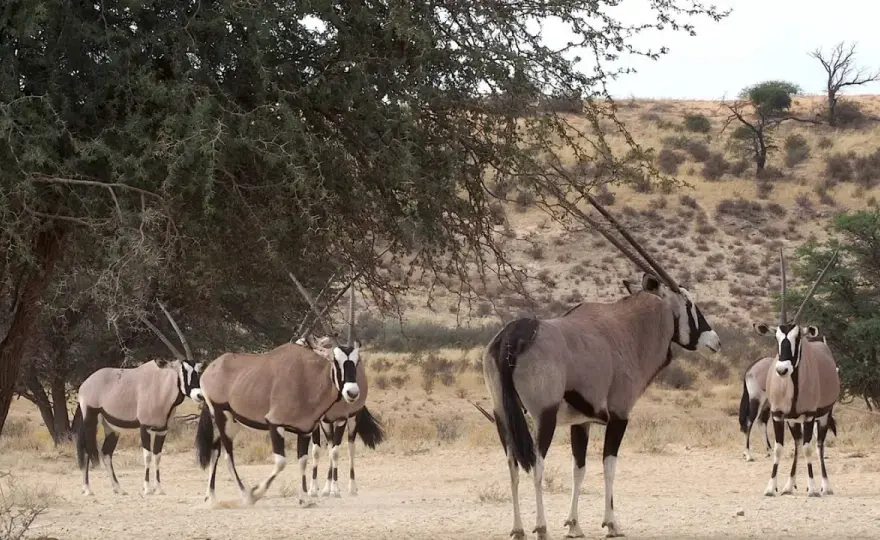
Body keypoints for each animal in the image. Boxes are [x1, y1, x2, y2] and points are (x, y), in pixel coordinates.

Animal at [75, 301, 203, 497]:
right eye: (182, 371)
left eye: (197, 370)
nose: (199, 394)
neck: (162, 388)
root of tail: (85, 384)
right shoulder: (144, 426)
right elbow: (147, 455)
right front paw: (147, 488)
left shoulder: (162, 429)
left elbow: (158, 456)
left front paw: (159, 488)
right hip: (90, 419)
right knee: (87, 450)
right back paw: (87, 489)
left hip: (111, 427)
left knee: (106, 453)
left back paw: (118, 488)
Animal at [195, 275, 370, 507]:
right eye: (335, 361)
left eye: (356, 362)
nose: (352, 392)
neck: (307, 378)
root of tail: (211, 368)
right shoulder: (274, 423)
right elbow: (281, 462)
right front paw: (256, 493)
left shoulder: (306, 429)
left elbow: (303, 460)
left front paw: (305, 498)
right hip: (221, 414)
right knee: (227, 455)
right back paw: (244, 494)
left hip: (233, 420)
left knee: (216, 450)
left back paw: (212, 496)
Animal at [481, 194, 722, 539]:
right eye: (689, 304)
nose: (715, 341)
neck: (629, 328)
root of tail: (514, 336)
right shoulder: (620, 415)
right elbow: (609, 465)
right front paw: (611, 523)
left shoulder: (580, 423)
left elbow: (579, 469)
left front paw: (574, 525)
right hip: (543, 416)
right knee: (537, 464)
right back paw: (540, 526)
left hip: (503, 415)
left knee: (513, 463)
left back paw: (518, 528)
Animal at [753, 249, 840, 498]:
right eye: (776, 338)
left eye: (798, 337)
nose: (782, 369)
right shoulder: (778, 416)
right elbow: (780, 449)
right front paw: (771, 487)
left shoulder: (810, 416)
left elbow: (810, 448)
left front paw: (813, 488)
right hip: (794, 421)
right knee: (798, 444)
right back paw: (788, 485)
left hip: (823, 415)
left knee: (818, 446)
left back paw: (825, 486)